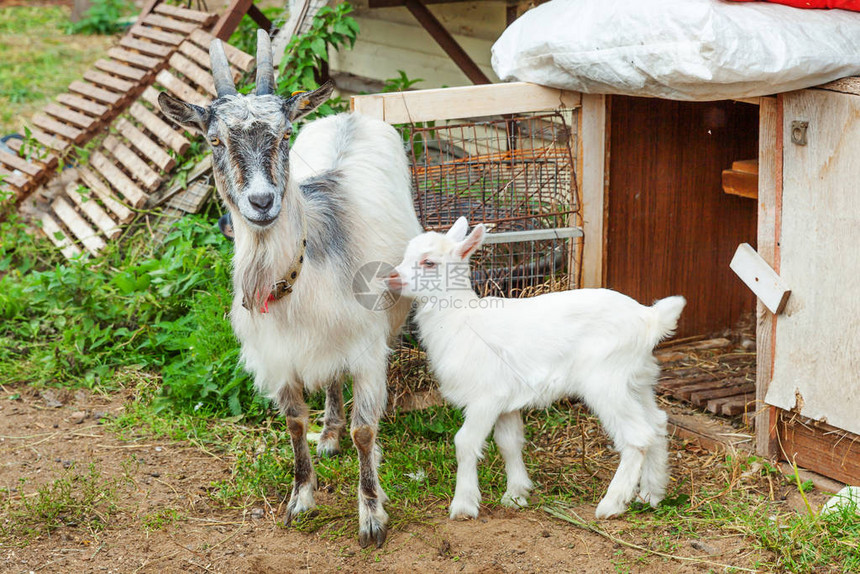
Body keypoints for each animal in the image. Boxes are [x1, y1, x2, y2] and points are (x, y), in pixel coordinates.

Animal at [160, 32, 422, 548]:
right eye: (214, 139)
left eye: (282, 135)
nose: (262, 202)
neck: (297, 277)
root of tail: (349, 115)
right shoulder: (280, 354)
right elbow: (294, 422)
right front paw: (301, 498)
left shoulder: (366, 346)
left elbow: (366, 432)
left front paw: (371, 516)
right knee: (331, 382)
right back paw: (329, 436)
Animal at [384, 218, 684, 520]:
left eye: (429, 262)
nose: (391, 278)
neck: (460, 318)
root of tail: (650, 319)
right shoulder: (505, 400)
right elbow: (509, 442)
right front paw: (516, 494)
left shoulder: (486, 396)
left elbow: (465, 442)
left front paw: (464, 505)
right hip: (638, 380)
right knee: (657, 424)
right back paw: (652, 494)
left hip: (605, 380)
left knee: (637, 435)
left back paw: (612, 503)